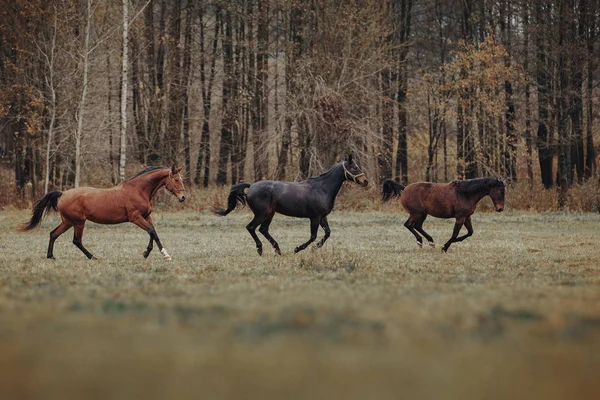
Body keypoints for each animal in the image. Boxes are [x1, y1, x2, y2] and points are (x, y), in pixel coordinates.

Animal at [17, 165, 186, 260]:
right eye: (177, 179)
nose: (183, 197)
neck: (138, 190)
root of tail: (63, 194)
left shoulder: (146, 216)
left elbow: (153, 233)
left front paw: (150, 253)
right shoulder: (136, 217)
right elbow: (151, 231)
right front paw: (163, 255)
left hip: (68, 222)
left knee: (53, 234)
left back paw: (51, 256)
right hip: (78, 222)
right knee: (76, 241)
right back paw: (92, 257)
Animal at [213, 155, 368, 255]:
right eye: (354, 167)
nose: (365, 181)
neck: (322, 188)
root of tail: (250, 187)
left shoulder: (323, 217)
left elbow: (328, 233)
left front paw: (315, 248)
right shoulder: (315, 217)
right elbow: (313, 236)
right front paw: (297, 249)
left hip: (270, 214)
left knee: (263, 230)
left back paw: (278, 250)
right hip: (262, 214)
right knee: (251, 227)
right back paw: (260, 249)